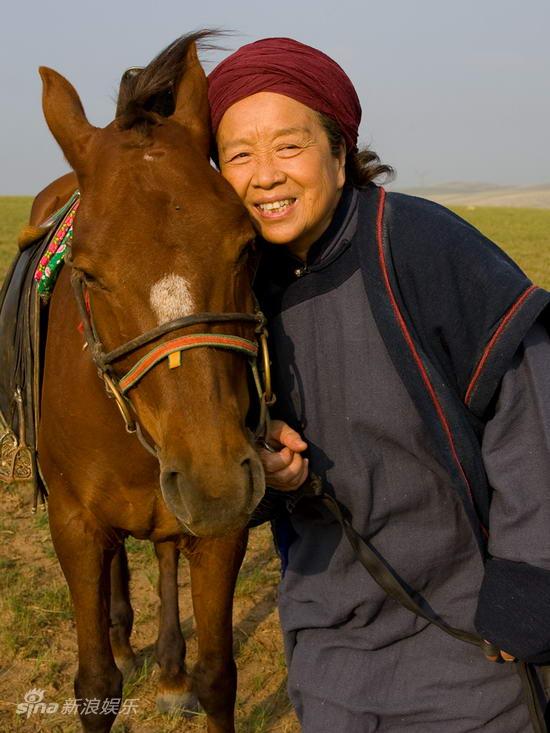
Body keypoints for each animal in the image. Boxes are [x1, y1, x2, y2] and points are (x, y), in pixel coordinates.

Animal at [32, 31, 270, 728]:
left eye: (247, 246)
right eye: (87, 272)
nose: (215, 483)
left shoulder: (222, 530)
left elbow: (219, 676)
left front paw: (185, 672)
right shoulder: (74, 527)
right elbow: (94, 684)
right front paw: (112, 650)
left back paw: (167, 666)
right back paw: (122, 635)